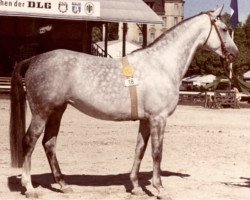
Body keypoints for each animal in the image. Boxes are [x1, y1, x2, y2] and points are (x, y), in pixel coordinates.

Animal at [10, 6, 238, 198]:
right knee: (29, 142)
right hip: (41, 112)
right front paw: (159, 188)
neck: (161, 64)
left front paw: (136, 186)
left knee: (49, 143)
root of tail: (35, 59)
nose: (234, 54)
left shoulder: (146, 120)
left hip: (58, 110)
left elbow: (140, 150)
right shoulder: (158, 119)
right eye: (224, 29)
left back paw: (64, 185)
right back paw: (29, 188)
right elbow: (157, 153)